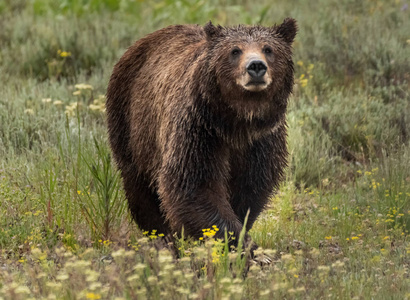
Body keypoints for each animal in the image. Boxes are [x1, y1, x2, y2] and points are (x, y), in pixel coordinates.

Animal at [107, 19, 296, 248]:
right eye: (235, 50)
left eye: (268, 49)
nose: (256, 66)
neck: (237, 122)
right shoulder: (200, 130)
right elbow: (194, 184)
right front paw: (239, 244)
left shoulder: (262, 140)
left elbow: (251, 187)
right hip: (132, 125)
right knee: (139, 186)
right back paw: (162, 237)